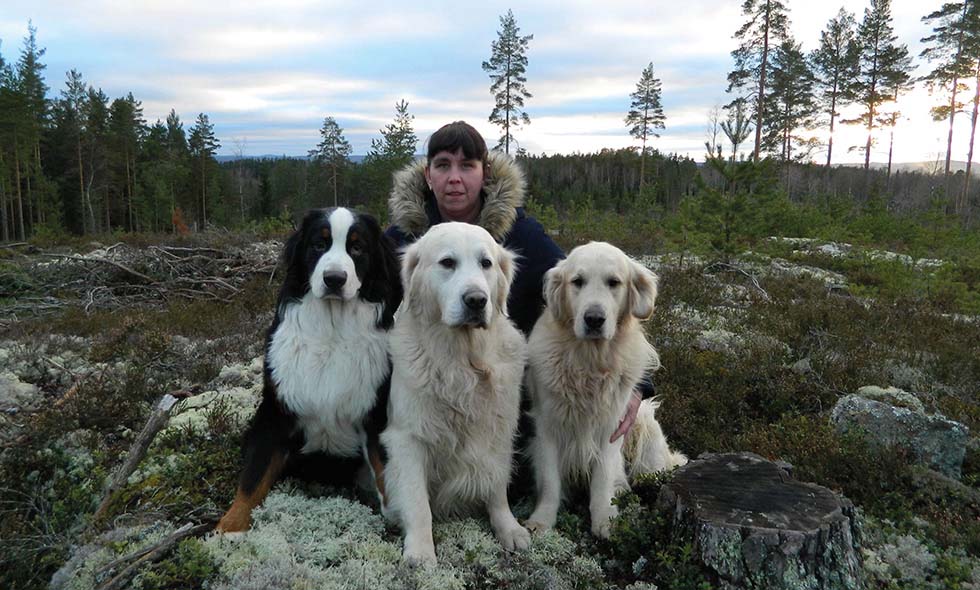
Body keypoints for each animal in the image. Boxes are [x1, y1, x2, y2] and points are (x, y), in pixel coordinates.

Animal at [218, 208, 402, 536]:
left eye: (357, 247)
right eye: (319, 244)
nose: (334, 279)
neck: (332, 329)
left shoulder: (377, 412)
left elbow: (385, 468)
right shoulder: (275, 411)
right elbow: (253, 475)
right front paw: (230, 525)